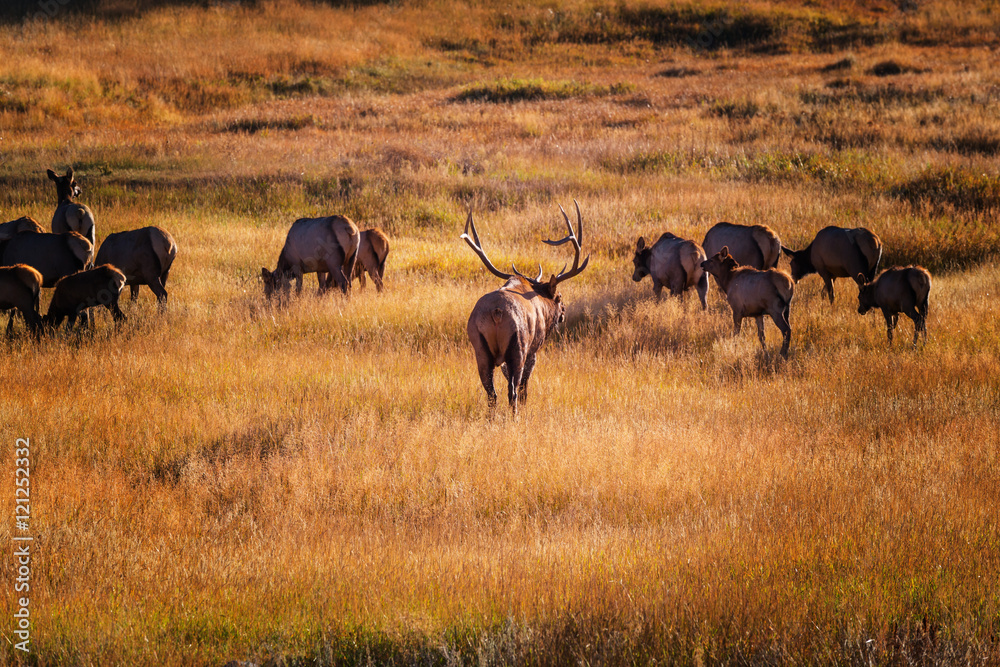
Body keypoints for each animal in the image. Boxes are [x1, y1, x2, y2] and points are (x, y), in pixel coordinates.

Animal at [463, 201, 589, 415]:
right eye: (559, 297)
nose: (563, 312)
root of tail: (496, 312)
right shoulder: (534, 349)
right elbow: (524, 387)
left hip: (480, 349)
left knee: (491, 393)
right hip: (518, 346)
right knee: (512, 391)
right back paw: (516, 417)